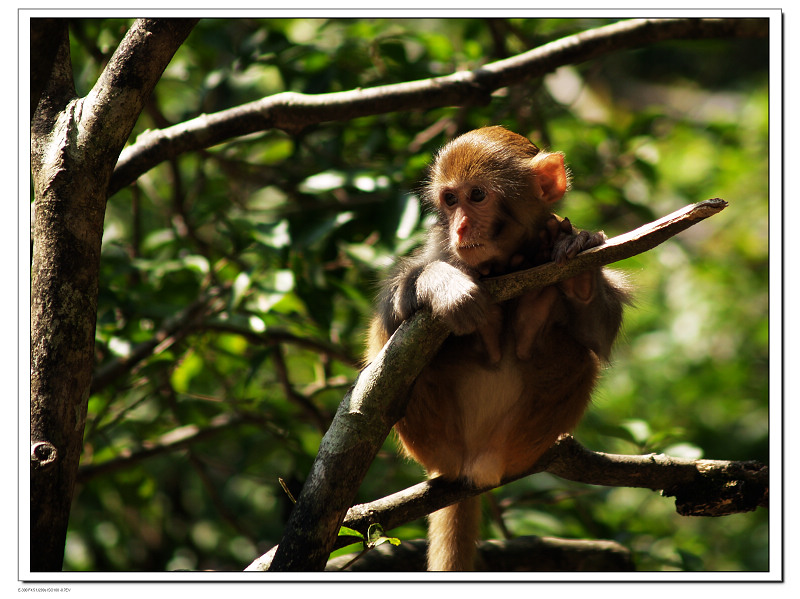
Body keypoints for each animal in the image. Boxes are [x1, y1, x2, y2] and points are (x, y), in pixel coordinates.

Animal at [364, 126, 632, 572]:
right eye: (450, 199)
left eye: (477, 195)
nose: (459, 229)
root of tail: (474, 464)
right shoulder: (438, 247)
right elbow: (390, 315)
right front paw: (442, 284)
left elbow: (599, 335)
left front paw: (578, 263)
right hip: (430, 434)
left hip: (520, 439)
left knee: (577, 354)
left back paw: (531, 314)